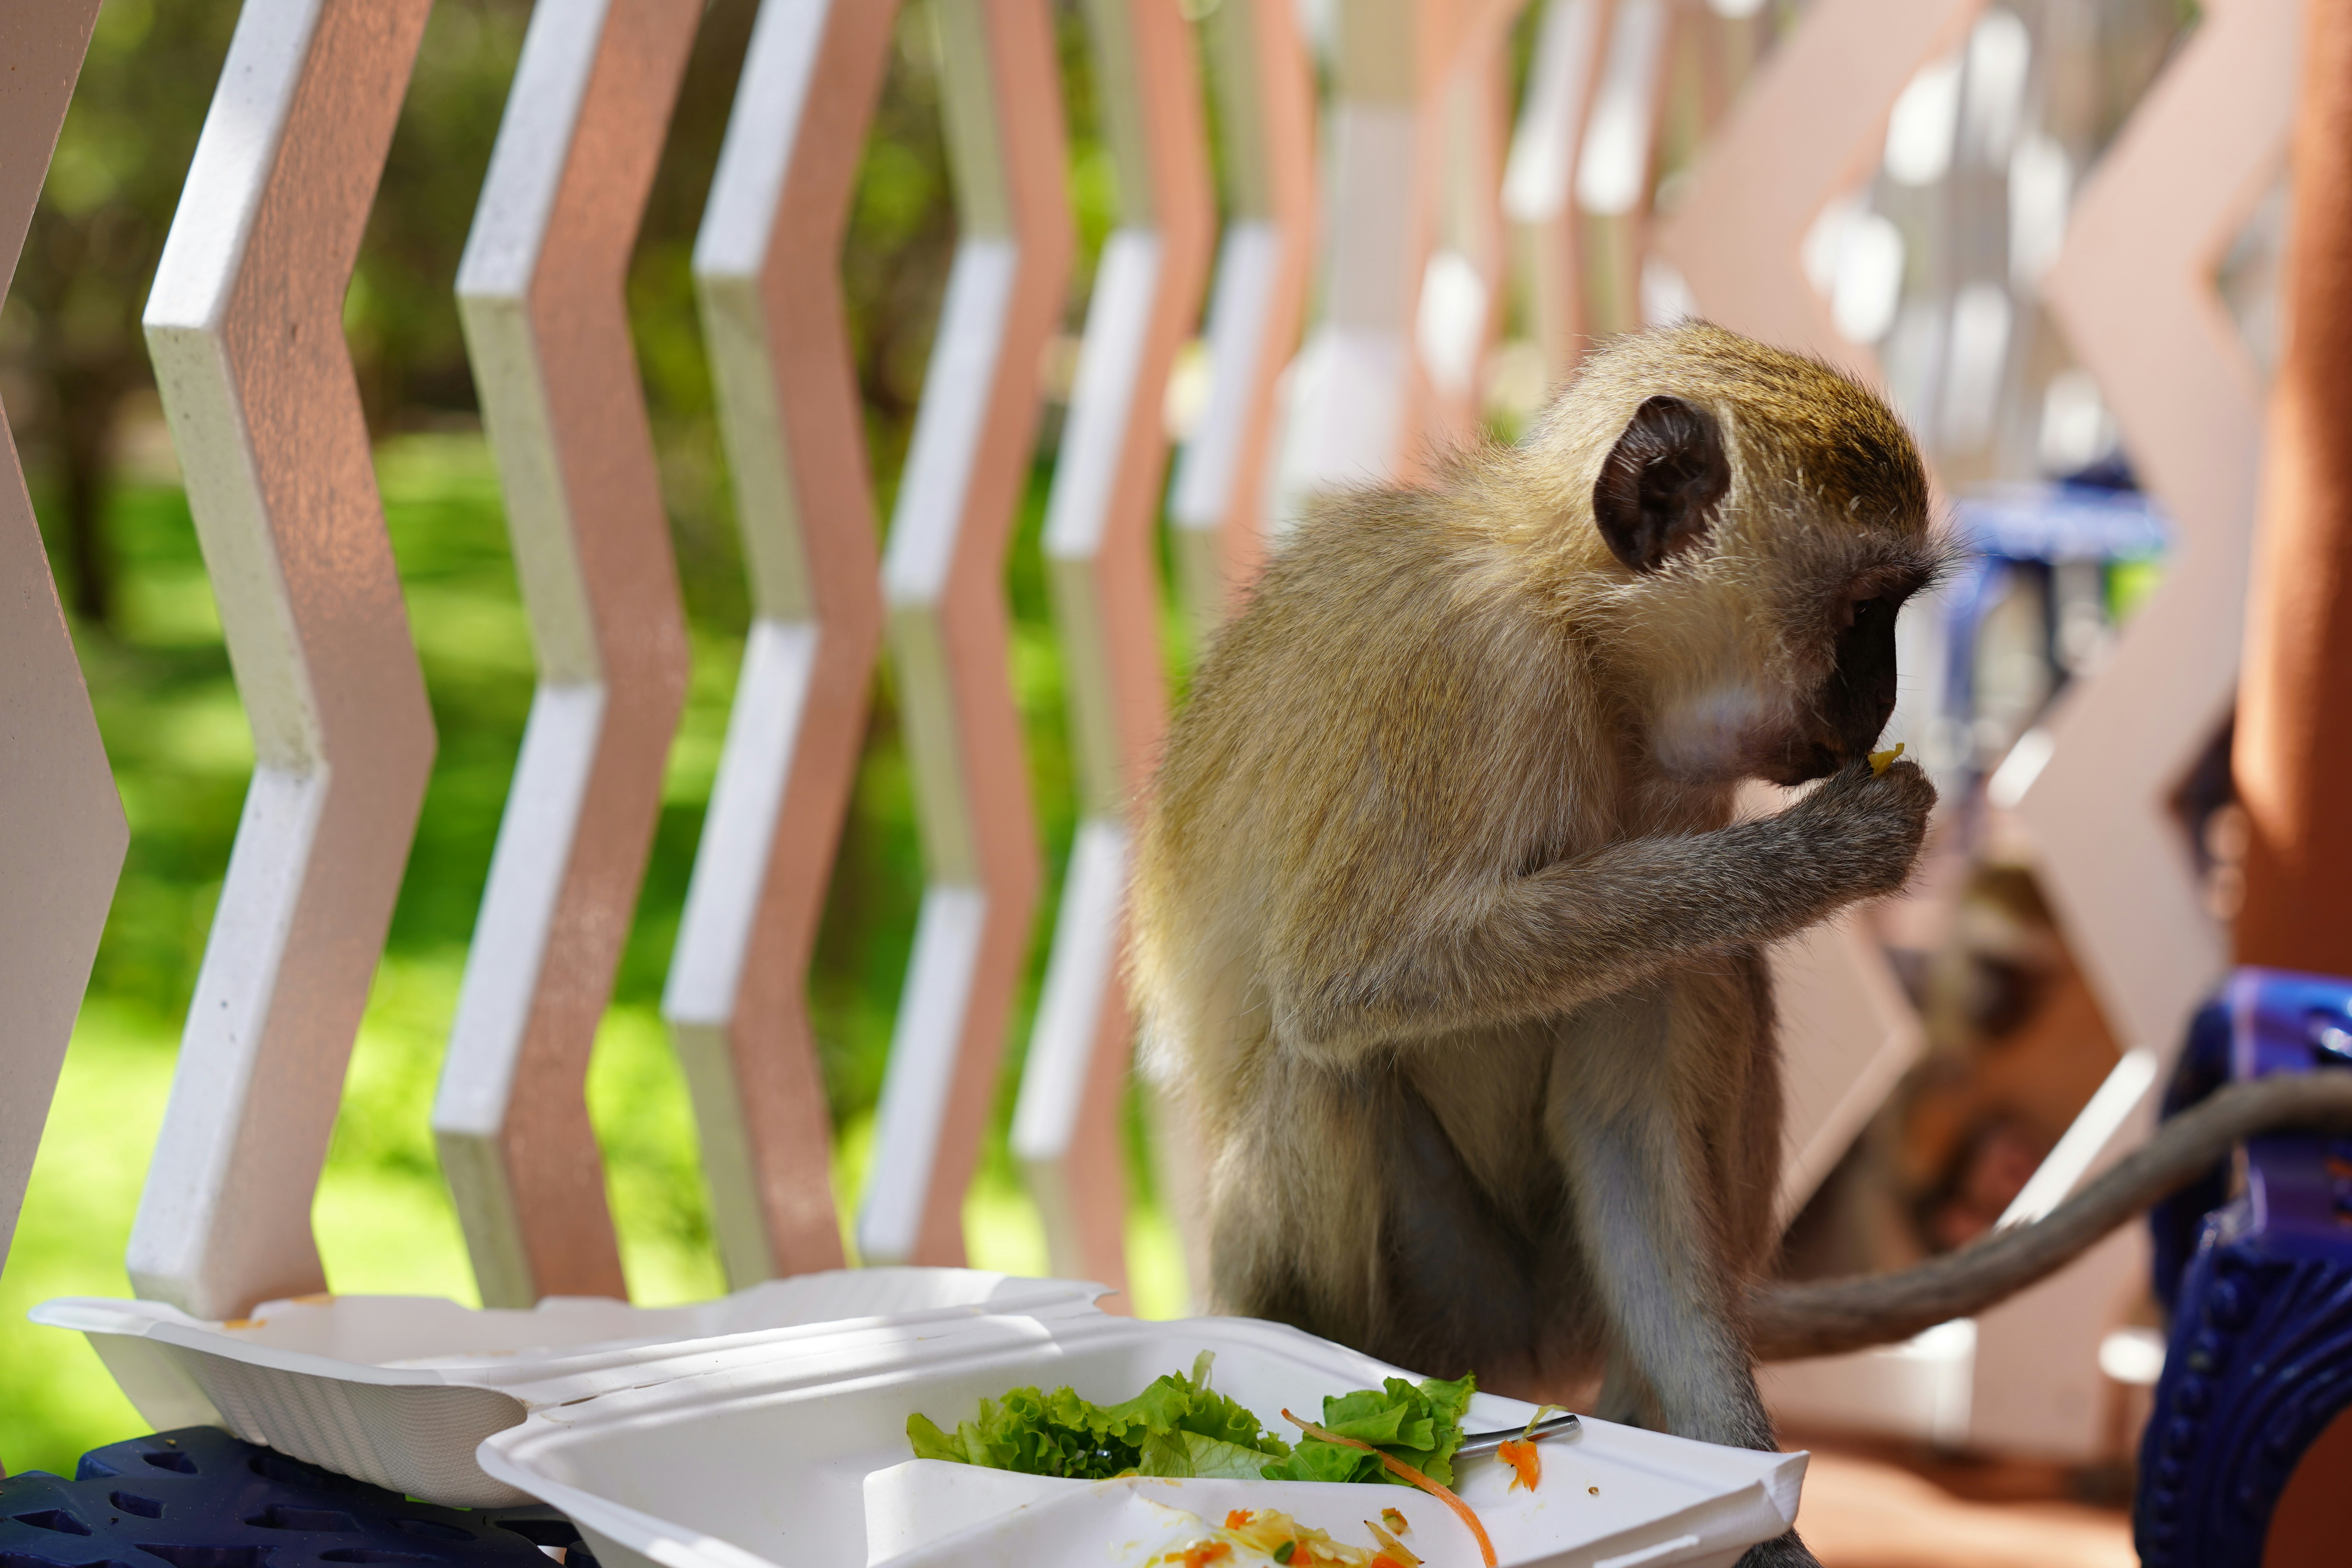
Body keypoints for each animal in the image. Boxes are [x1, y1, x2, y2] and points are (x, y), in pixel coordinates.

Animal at [1128, 322, 2352, 1568]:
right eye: (1866, 609)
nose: (1883, 697)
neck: (1583, 641)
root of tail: (1524, 1353)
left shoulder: (1681, 781)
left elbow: (1626, 1121)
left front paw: (1751, 1511)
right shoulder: (1469, 669)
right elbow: (1350, 983)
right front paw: (1816, 858)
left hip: (1548, 1307)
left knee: (1709, 979)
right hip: (1450, 1308)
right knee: (1318, 1071)